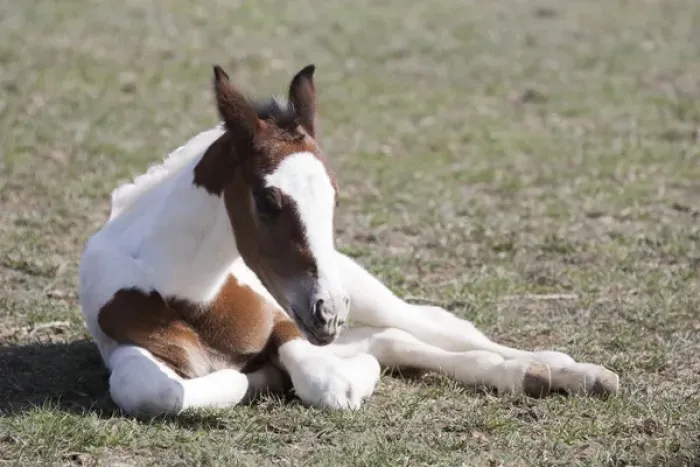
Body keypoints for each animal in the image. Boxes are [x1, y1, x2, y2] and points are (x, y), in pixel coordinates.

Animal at [78, 64, 619, 416]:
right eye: (267, 200)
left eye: (334, 197)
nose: (329, 312)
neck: (194, 295)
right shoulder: (124, 348)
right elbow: (152, 391)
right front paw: (260, 376)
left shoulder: (287, 323)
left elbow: (328, 383)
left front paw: (314, 375)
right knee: (397, 338)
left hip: (364, 290)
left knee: (437, 328)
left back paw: (570, 371)